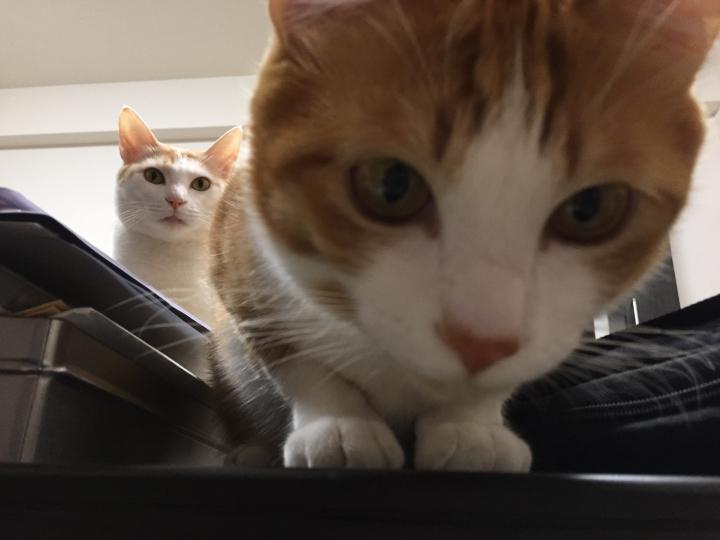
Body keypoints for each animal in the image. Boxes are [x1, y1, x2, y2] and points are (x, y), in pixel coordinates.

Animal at [209, 0, 720, 470]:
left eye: (590, 209)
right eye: (391, 184)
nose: (480, 343)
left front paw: (470, 427)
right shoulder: (237, 260)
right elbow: (295, 361)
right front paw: (339, 423)